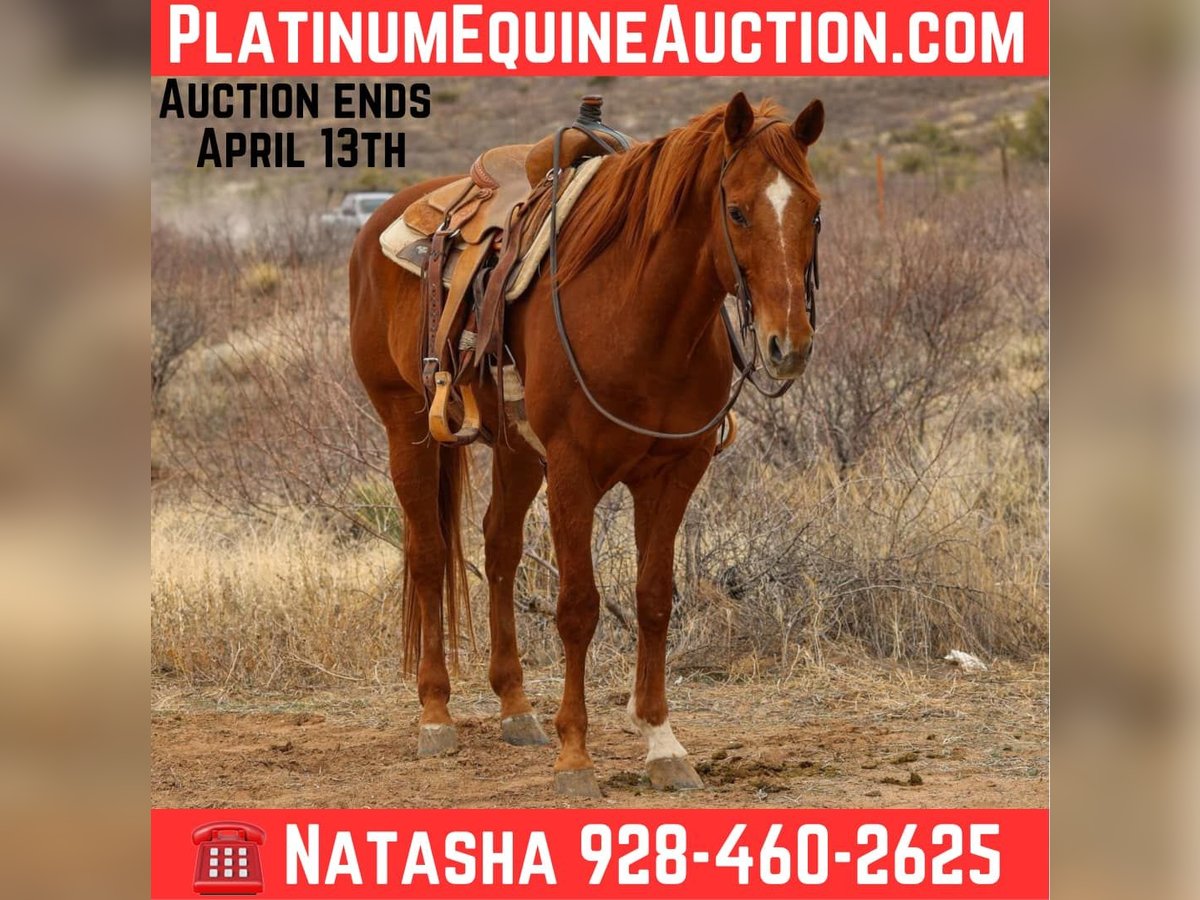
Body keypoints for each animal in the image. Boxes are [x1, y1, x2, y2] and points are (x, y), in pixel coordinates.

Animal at [349, 92, 824, 797]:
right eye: (736, 210)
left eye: (814, 211)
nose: (786, 345)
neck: (639, 312)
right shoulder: (573, 472)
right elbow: (577, 606)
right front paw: (575, 757)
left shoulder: (673, 472)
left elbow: (653, 600)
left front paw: (662, 742)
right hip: (404, 424)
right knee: (429, 553)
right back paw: (435, 714)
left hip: (515, 451)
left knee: (498, 549)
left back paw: (516, 707)